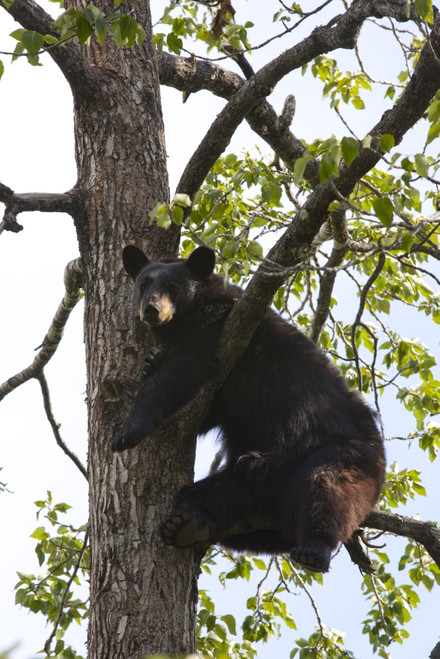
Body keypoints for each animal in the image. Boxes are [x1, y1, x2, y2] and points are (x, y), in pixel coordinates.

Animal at [113, 244, 386, 572]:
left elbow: (181, 368)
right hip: (246, 487)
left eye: (172, 286)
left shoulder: (219, 326)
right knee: (213, 496)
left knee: (328, 486)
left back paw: (313, 550)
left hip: (352, 455)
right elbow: (204, 413)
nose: (152, 310)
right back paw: (187, 525)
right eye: (144, 284)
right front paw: (150, 360)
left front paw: (127, 432)